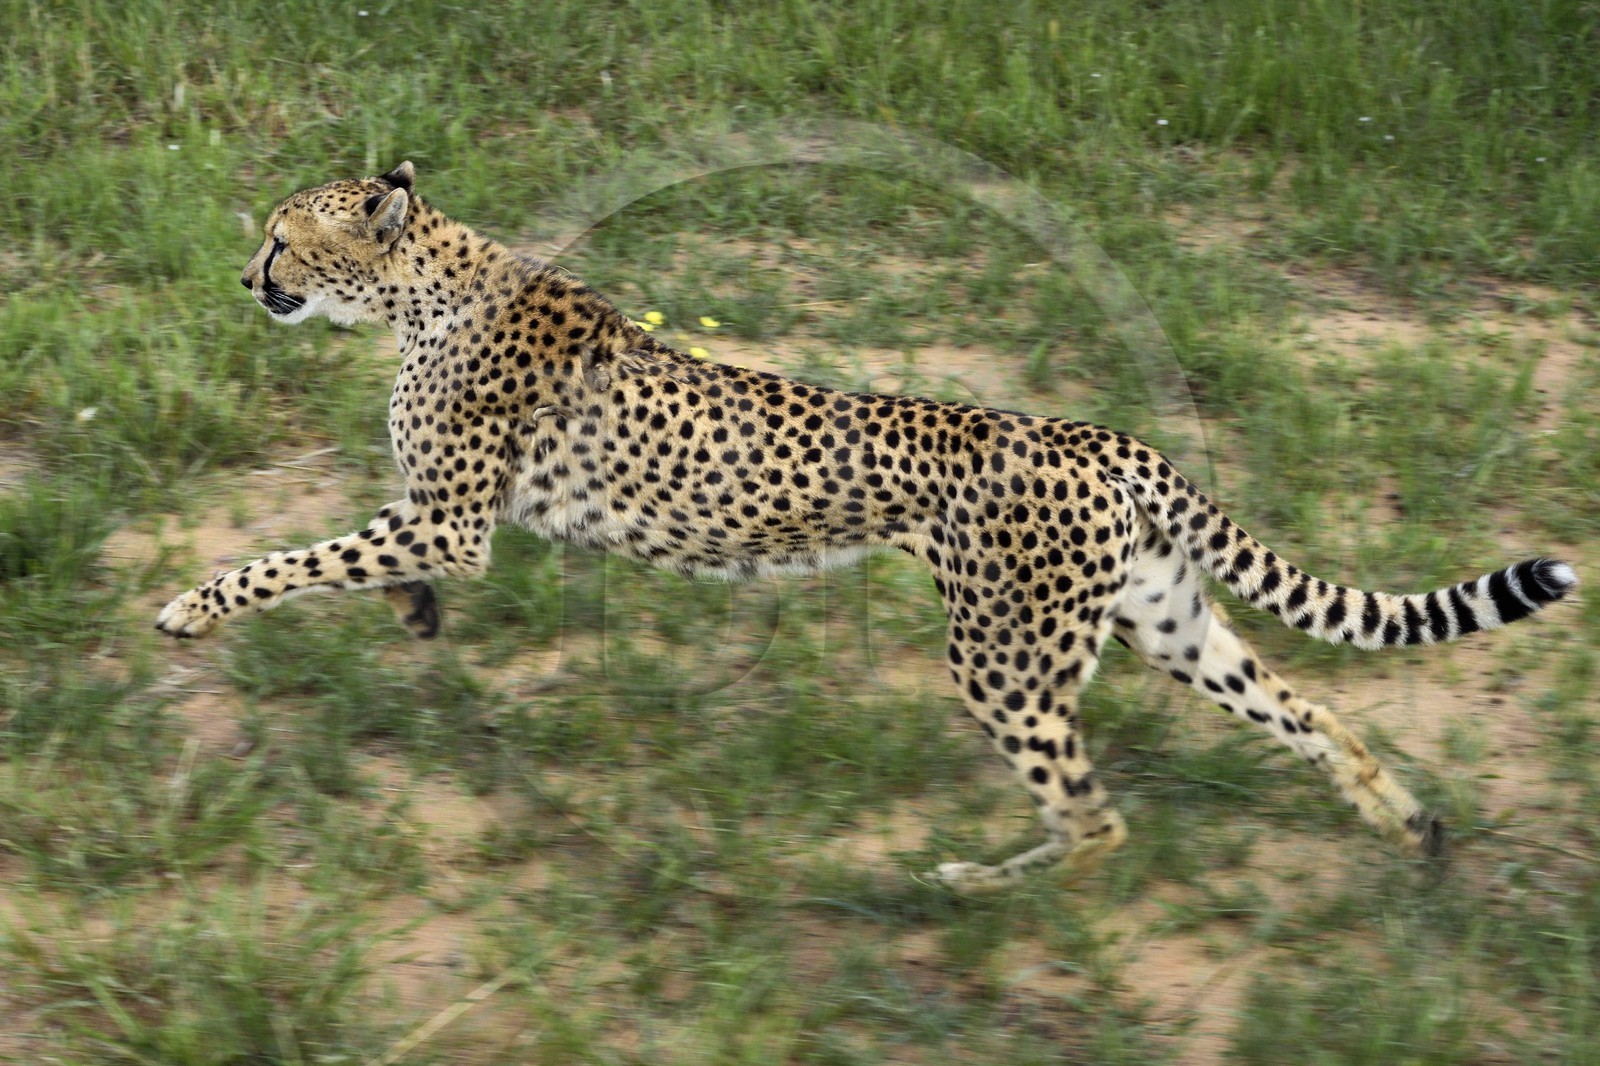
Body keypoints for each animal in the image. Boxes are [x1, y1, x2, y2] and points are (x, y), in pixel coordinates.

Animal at [157, 161, 1577, 890]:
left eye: (281, 238)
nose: (244, 277)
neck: (421, 285)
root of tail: (1101, 435)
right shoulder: (439, 517)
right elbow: (363, 552)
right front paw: (410, 614)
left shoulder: (453, 518)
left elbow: (299, 556)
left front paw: (190, 608)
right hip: (1167, 622)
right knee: (1315, 710)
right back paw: (1406, 827)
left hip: (1002, 658)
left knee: (1096, 816)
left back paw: (975, 885)